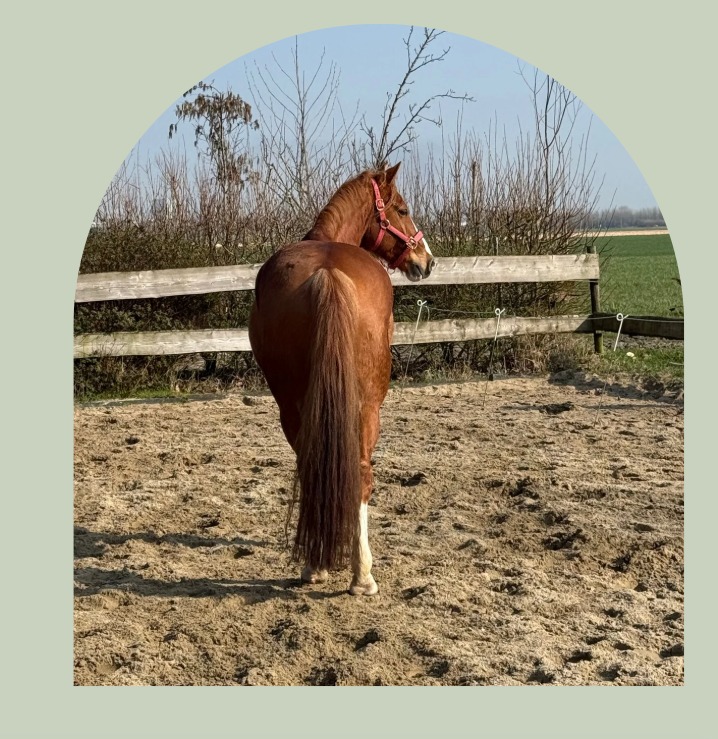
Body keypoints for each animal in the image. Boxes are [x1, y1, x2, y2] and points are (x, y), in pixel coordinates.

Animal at [248, 162, 434, 595]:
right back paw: (361, 574)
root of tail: (329, 274)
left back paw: (314, 565)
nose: (426, 260)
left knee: (311, 467)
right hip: (369, 406)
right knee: (362, 476)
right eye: (402, 209)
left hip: (293, 406)